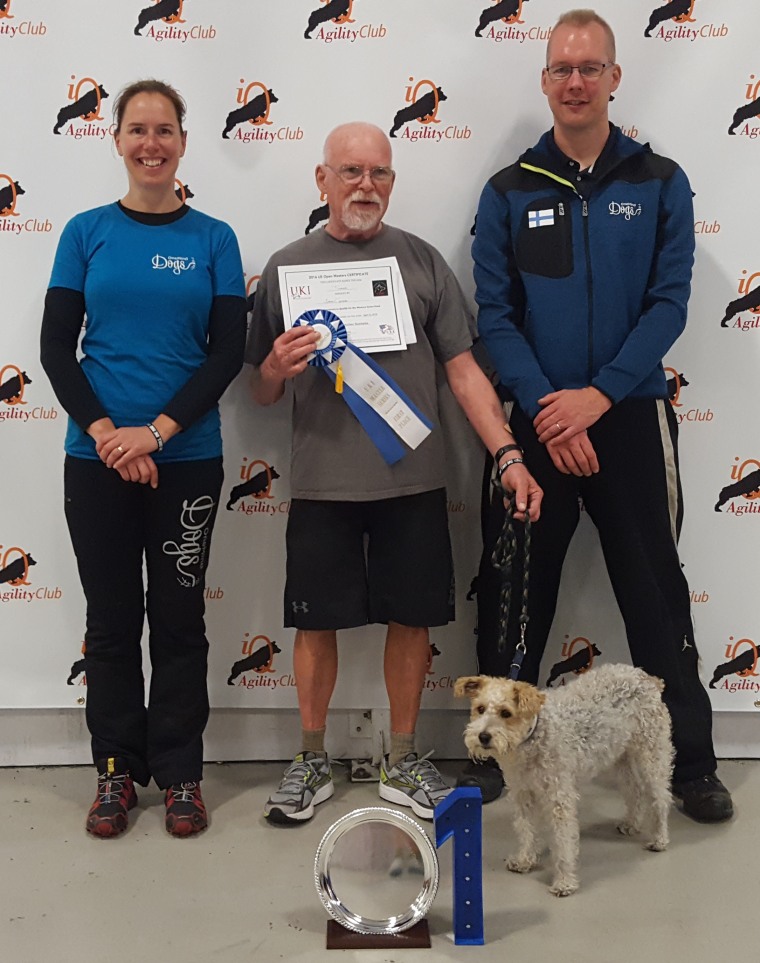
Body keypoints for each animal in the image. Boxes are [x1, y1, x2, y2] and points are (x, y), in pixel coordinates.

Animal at [454, 664, 672, 896]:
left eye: (506, 713)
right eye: (480, 709)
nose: (483, 737)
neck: (533, 738)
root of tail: (647, 677)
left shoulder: (559, 799)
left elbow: (563, 842)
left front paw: (564, 882)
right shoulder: (523, 794)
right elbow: (526, 830)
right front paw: (524, 860)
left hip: (652, 757)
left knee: (660, 799)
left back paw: (659, 839)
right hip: (621, 758)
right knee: (635, 790)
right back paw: (631, 823)